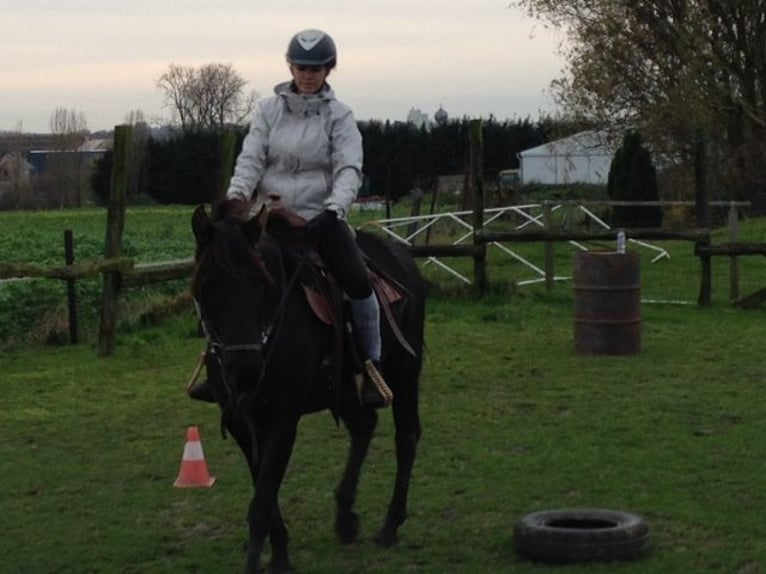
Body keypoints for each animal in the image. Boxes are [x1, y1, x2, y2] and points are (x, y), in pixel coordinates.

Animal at [187, 199, 426, 574]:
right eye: (208, 286)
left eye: (260, 283)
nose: (245, 370)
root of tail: (402, 257)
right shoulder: (243, 424)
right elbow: (265, 494)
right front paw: (279, 554)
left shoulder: (284, 422)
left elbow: (261, 503)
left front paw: (263, 561)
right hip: (344, 389)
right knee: (364, 426)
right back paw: (345, 517)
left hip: (405, 373)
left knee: (407, 437)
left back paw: (390, 526)